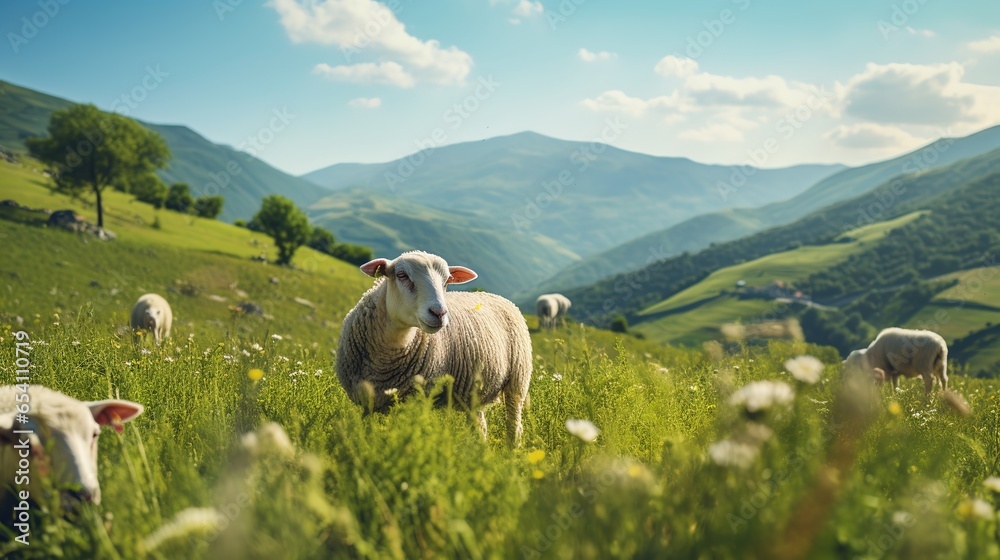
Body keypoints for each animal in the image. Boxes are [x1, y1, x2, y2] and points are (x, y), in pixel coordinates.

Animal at [336, 251, 533, 446]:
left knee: (514, 423)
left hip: (518, 381)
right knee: (479, 424)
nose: (439, 313)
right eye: (401, 275)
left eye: (447, 281)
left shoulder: (416, 401)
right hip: (474, 394)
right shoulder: (367, 402)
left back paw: (511, 449)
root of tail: (496, 296)